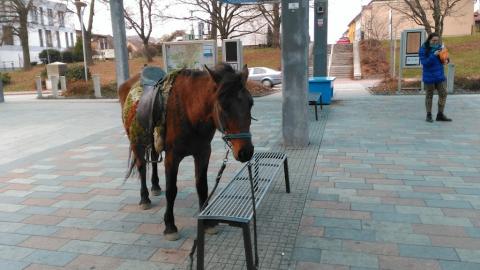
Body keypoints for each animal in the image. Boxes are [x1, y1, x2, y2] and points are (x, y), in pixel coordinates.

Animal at [119, 63, 255, 240]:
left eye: (251, 103)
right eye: (223, 105)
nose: (246, 152)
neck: (189, 111)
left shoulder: (203, 153)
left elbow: (202, 186)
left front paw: (208, 222)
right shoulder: (172, 157)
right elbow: (171, 190)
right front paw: (170, 226)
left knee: (153, 159)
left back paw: (155, 186)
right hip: (136, 140)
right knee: (142, 167)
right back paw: (145, 198)